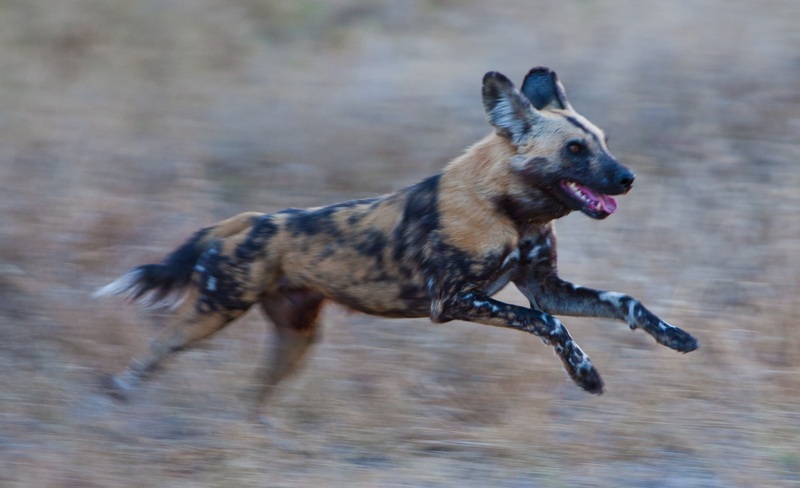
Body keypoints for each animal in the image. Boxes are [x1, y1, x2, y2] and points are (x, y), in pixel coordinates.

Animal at [94, 66, 696, 416]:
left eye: (604, 142)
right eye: (575, 149)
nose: (628, 179)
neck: (510, 210)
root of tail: (247, 220)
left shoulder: (544, 287)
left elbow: (626, 303)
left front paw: (674, 337)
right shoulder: (453, 302)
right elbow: (553, 326)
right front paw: (586, 376)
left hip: (297, 339)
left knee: (253, 397)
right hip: (210, 315)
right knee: (152, 354)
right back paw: (117, 394)